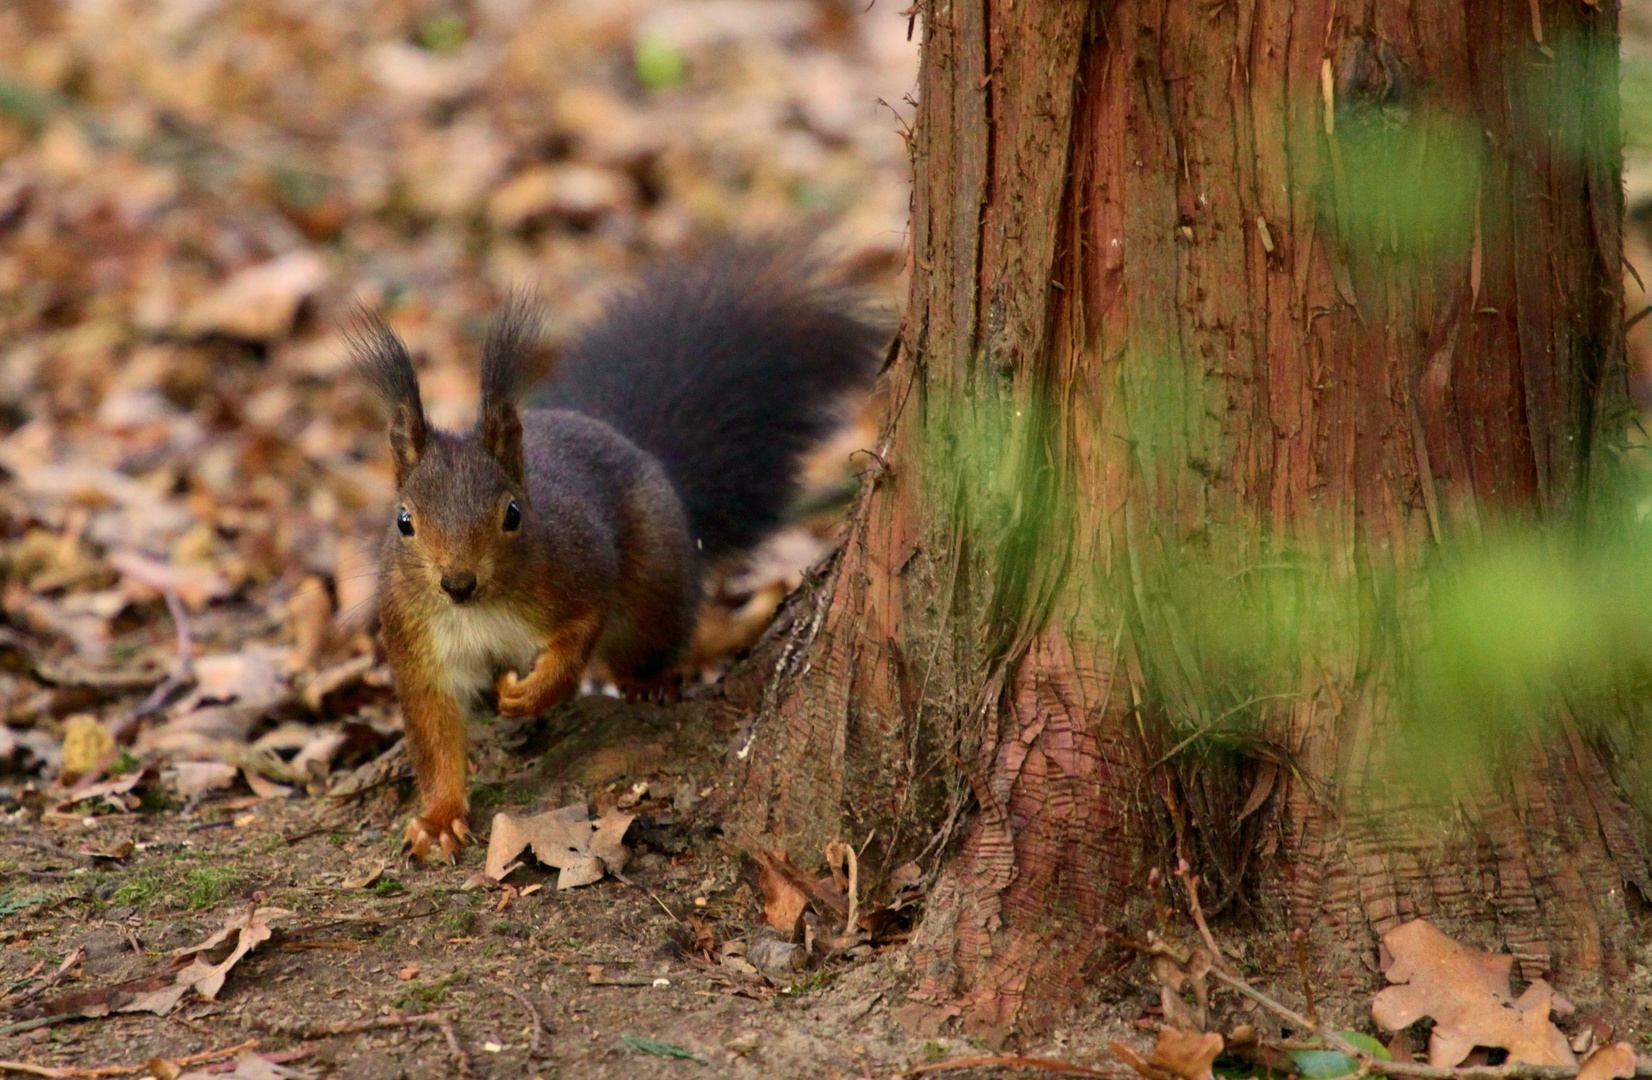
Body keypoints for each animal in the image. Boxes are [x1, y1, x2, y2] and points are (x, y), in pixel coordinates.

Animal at [353, 242, 885, 865]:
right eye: (403, 521)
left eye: (513, 514)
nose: (457, 583)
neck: (478, 612)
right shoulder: (416, 643)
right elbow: (434, 738)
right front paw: (438, 821)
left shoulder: (578, 572)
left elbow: (578, 640)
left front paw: (529, 694)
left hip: (655, 583)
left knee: (650, 636)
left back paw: (648, 681)